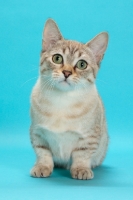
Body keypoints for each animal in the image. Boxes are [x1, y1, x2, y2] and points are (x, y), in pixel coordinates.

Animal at [30, 19, 109, 180]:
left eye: (82, 64)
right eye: (57, 58)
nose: (66, 72)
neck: (62, 100)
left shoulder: (89, 138)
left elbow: (82, 155)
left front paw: (81, 169)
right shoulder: (37, 133)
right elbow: (43, 153)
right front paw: (42, 167)